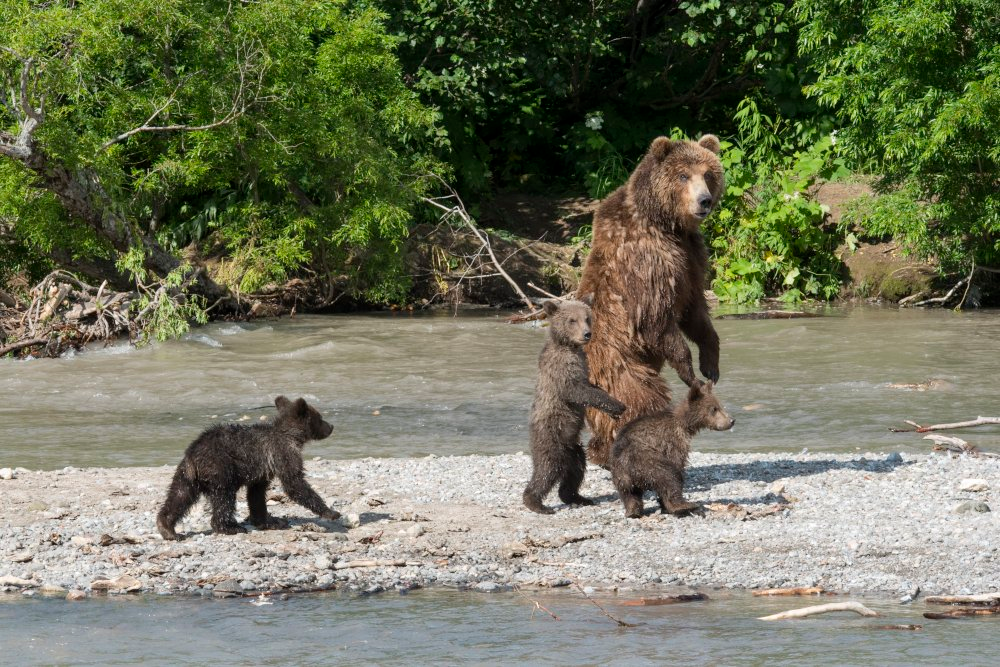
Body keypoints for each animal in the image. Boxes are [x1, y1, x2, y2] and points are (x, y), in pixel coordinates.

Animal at [156, 396, 342, 544]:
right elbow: (295, 483)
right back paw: (229, 527)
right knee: (223, 497)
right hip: (220, 468)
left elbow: (256, 495)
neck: (293, 436)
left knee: (179, 496)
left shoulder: (262, 471)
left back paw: (168, 529)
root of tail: (192, 452)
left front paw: (267, 521)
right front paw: (331, 512)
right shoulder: (283, 453)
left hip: (186, 474)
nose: (332, 426)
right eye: (320, 418)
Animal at [524, 298, 624, 516]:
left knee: (575, 470)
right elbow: (579, 391)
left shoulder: (583, 364)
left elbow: (591, 386)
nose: (587, 334)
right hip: (552, 435)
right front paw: (618, 406)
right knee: (547, 467)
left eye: (587, 318)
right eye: (572, 320)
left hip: (574, 447)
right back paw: (536, 503)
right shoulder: (562, 368)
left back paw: (577, 497)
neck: (569, 346)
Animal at [580, 134, 728, 470]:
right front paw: (690, 374)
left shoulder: (690, 260)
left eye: (708, 174)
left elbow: (695, 312)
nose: (704, 201)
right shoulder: (646, 263)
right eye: (683, 175)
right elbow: (657, 319)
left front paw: (710, 366)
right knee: (637, 399)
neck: (668, 225)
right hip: (617, 362)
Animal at [608, 380, 736, 516]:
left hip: (619, 473)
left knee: (629, 494)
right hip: (646, 461)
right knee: (669, 477)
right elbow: (677, 465)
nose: (731, 420)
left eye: (719, 406)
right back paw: (687, 506)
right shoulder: (673, 441)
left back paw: (633, 512)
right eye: (714, 409)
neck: (685, 425)